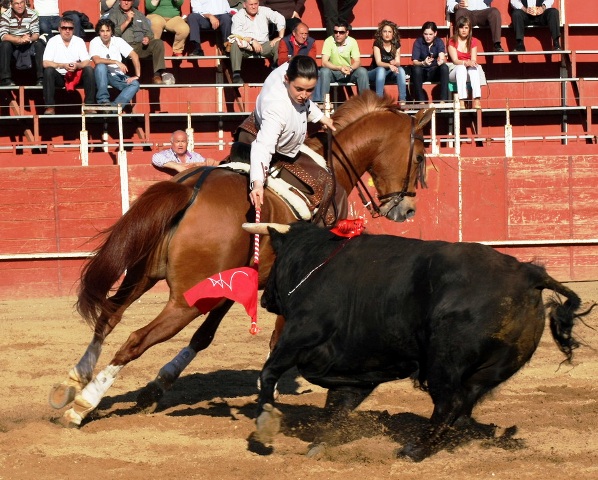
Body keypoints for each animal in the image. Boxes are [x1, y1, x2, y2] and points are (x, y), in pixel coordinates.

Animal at [49, 91, 436, 428]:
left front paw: (160, 384)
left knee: (109, 316)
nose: (408, 209)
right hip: (186, 301)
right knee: (136, 339)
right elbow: (277, 337)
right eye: (419, 156)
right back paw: (83, 405)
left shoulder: (234, 283)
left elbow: (204, 337)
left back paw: (72, 382)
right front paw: (268, 388)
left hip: (144, 276)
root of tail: (188, 189)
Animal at [250, 221, 596, 462]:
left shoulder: (299, 335)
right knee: (462, 408)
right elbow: (337, 404)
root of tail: (528, 274)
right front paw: (321, 442)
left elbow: (269, 373)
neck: (314, 263)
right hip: (491, 370)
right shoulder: (357, 365)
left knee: (449, 404)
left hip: (444, 361)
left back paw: (414, 451)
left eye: (274, 260)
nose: (264, 299)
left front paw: (265, 426)